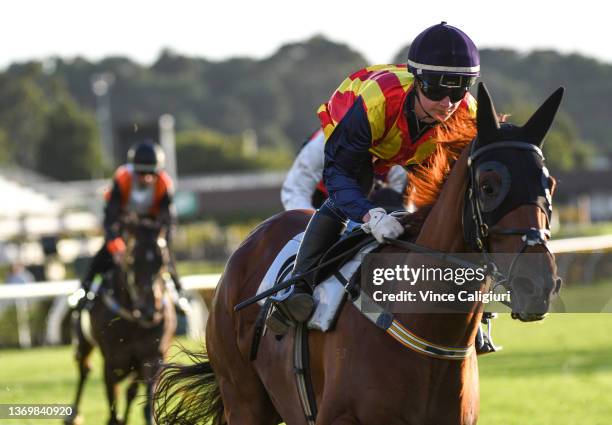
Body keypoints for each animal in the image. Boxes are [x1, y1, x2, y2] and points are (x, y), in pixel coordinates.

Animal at [67, 219, 177, 424]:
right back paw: (73, 414)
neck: (134, 321)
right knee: (84, 370)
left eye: (163, 261)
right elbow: (113, 412)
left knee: (130, 391)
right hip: (83, 344)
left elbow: (145, 403)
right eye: (133, 260)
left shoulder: (152, 357)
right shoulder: (112, 363)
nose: (150, 310)